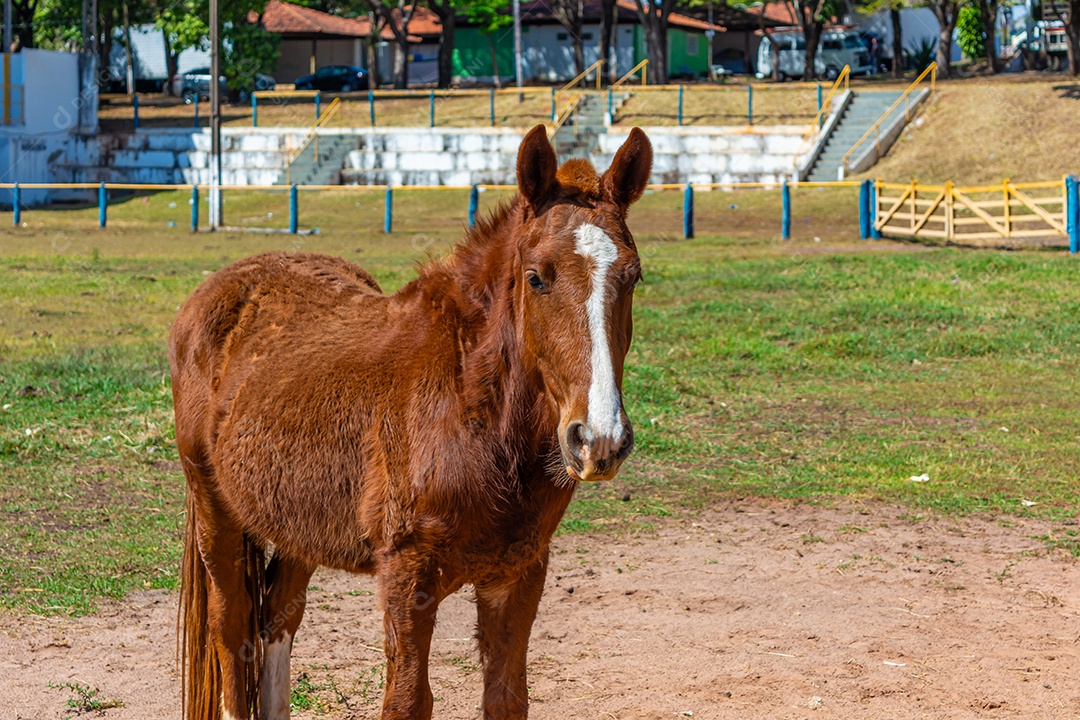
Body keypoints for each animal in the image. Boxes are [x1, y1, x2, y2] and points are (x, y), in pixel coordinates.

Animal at [169, 124, 653, 720]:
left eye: (633, 277)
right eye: (536, 278)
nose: (599, 440)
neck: (471, 412)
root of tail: (215, 291)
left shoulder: (518, 575)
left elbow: (507, 697)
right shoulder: (407, 577)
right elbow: (406, 700)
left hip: (294, 521)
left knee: (278, 616)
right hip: (217, 510)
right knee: (232, 627)